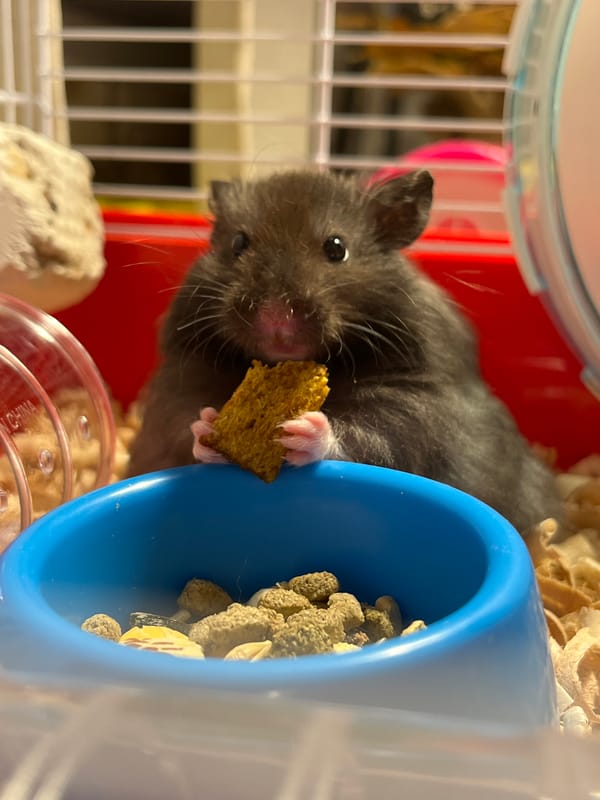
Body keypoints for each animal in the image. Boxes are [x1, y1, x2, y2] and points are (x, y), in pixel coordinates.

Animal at [127, 168, 561, 533]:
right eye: (238, 243)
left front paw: (302, 429)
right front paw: (209, 425)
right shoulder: (181, 380)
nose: (276, 317)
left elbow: (372, 436)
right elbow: (184, 422)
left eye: (336, 248)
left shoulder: (414, 401)